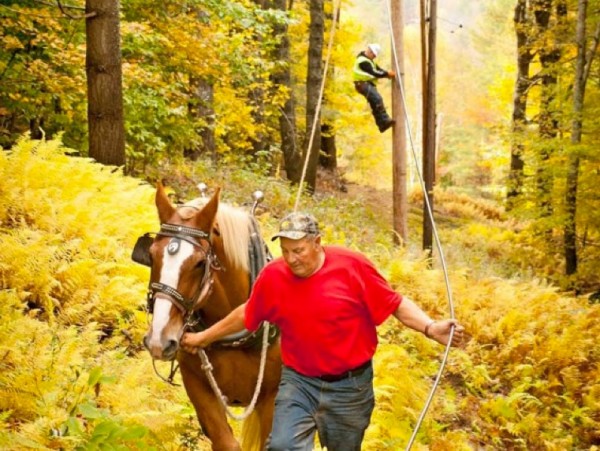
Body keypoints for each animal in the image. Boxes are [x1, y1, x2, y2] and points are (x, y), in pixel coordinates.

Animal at [141, 184, 282, 451]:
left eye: (199, 263)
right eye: (151, 255)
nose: (159, 340)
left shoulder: (273, 398)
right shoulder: (198, 387)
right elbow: (226, 442)